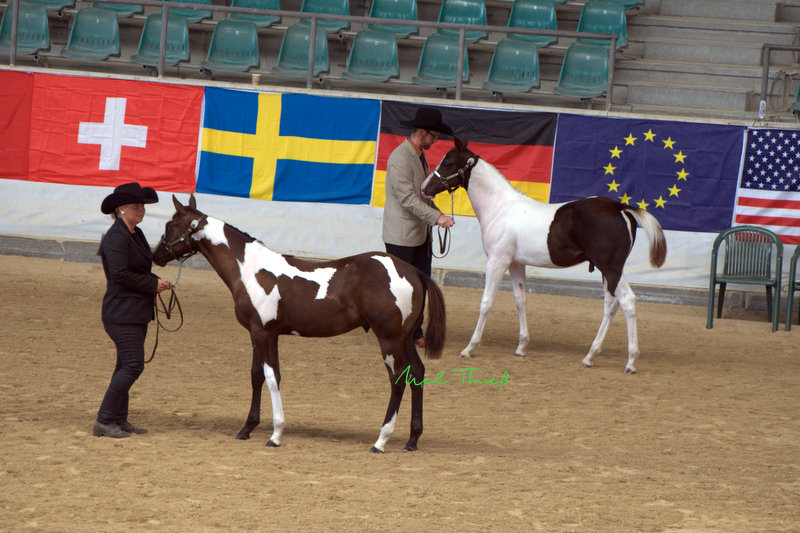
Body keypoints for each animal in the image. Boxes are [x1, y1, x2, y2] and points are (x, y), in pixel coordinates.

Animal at [153, 193, 446, 450]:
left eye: (170, 225)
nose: (157, 255)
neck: (251, 270)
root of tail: (413, 271)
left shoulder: (262, 333)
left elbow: (271, 377)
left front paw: (275, 434)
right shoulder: (264, 334)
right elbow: (257, 375)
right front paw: (247, 428)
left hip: (389, 339)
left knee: (398, 380)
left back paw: (381, 441)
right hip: (405, 338)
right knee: (417, 373)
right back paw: (412, 439)